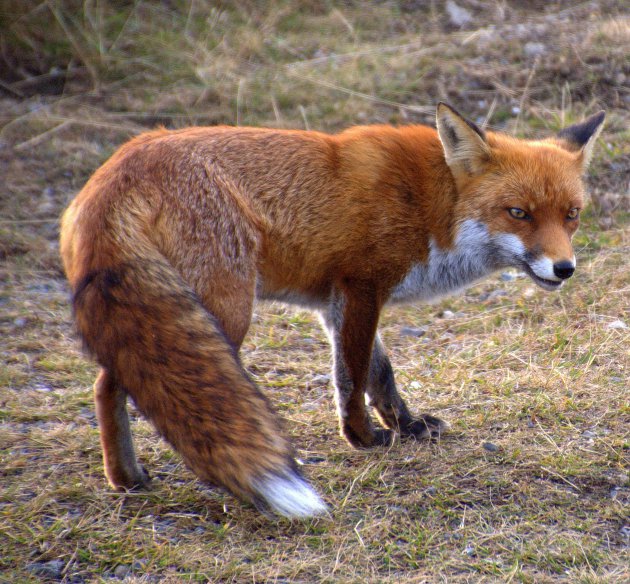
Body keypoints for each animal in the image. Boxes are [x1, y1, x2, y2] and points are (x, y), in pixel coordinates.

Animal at [60, 102, 608, 516]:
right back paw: (127, 476)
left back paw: (125, 477)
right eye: (518, 213)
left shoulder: (333, 303)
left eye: (571, 215)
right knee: (110, 381)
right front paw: (362, 438)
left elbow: (381, 374)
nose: (564, 268)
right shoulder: (362, 287)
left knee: (108, 381)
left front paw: (406, 427)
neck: (431, 204)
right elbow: (353, 374)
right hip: (224, 312)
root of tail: (115, 169)